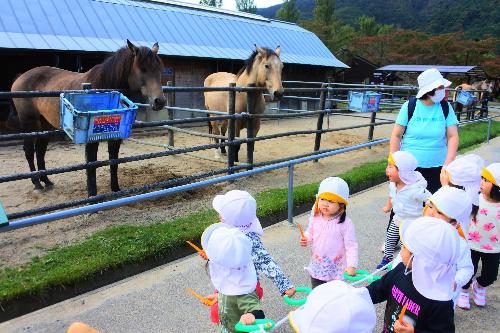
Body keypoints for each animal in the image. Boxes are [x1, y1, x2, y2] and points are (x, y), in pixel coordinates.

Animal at [10, 39, 166, 196]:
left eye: (160, 69)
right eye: (142, 69)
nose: (160, 101)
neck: (103, 85)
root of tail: (20, 77)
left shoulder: (116, 136)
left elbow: (113, 161)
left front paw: (115, 189)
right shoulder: (91, 139)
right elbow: (92, 165)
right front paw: (94, 195)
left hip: (45, 124)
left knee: (40, 150)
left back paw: (46, 181)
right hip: (29, 123)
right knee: (29, 151)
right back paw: (37, 184)